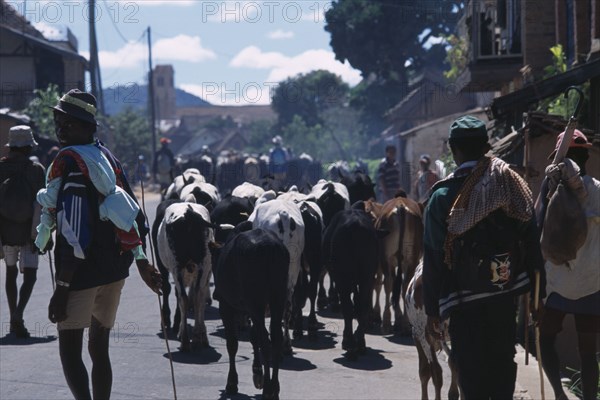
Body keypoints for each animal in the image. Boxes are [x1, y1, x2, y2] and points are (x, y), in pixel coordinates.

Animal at [158, 203, 214, 350]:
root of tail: (188, 211)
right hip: (202, 264)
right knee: (196, 296)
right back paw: (197, 337)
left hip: (177, 267)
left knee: (184, 297)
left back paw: (186, 339)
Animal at [214, 222, 290, 400]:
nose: (215, 294)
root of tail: (269, 246)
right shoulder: (250, 311)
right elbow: (253, 336)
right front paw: (257, 373)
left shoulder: (226, 306)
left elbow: (232, 344)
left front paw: (232, 382)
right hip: (278, 298)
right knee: (275, 338)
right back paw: (275, 388)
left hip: (257, 302)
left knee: (266, 341)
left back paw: (268, 389)